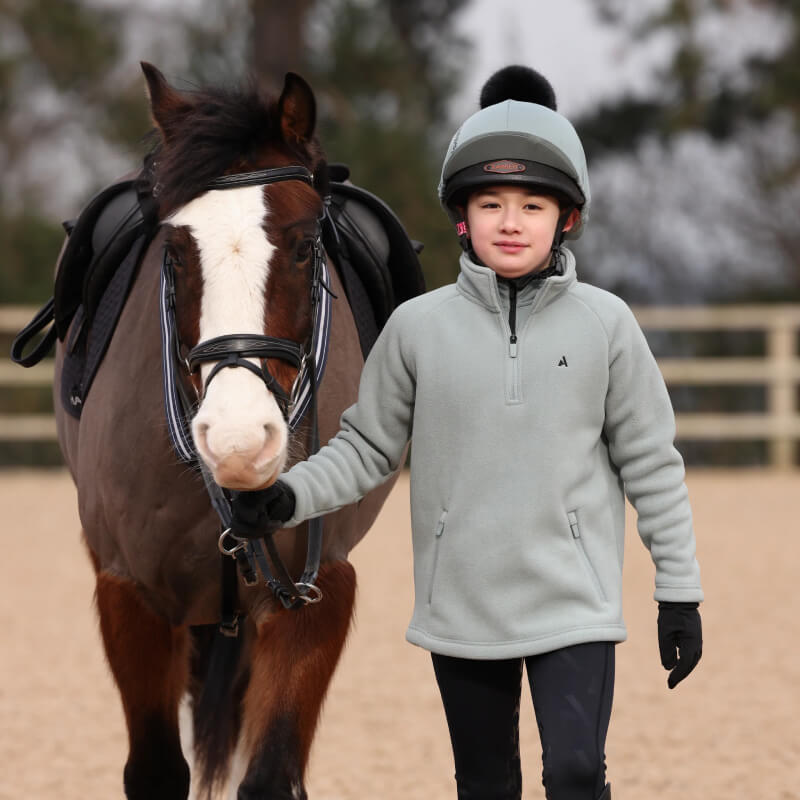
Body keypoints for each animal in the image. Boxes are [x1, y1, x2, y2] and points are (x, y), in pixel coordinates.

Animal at [52, 62, 403, 799]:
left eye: (304, 246)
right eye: (176, 251)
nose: (240, 440)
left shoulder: (316, 594)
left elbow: (271, 773)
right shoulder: (130, 596)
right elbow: (156, 770)